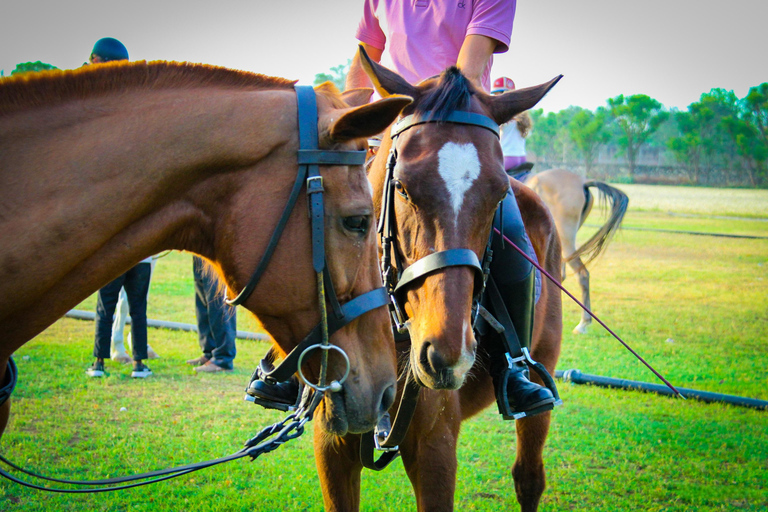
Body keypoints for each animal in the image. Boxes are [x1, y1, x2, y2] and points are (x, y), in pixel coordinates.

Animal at [310, 50, 564, 510]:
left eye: (499, 195)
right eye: (403, 188)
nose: (449, 356)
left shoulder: (435, 450)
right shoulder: (331, 446)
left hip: (542, 369)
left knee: (529, 477)